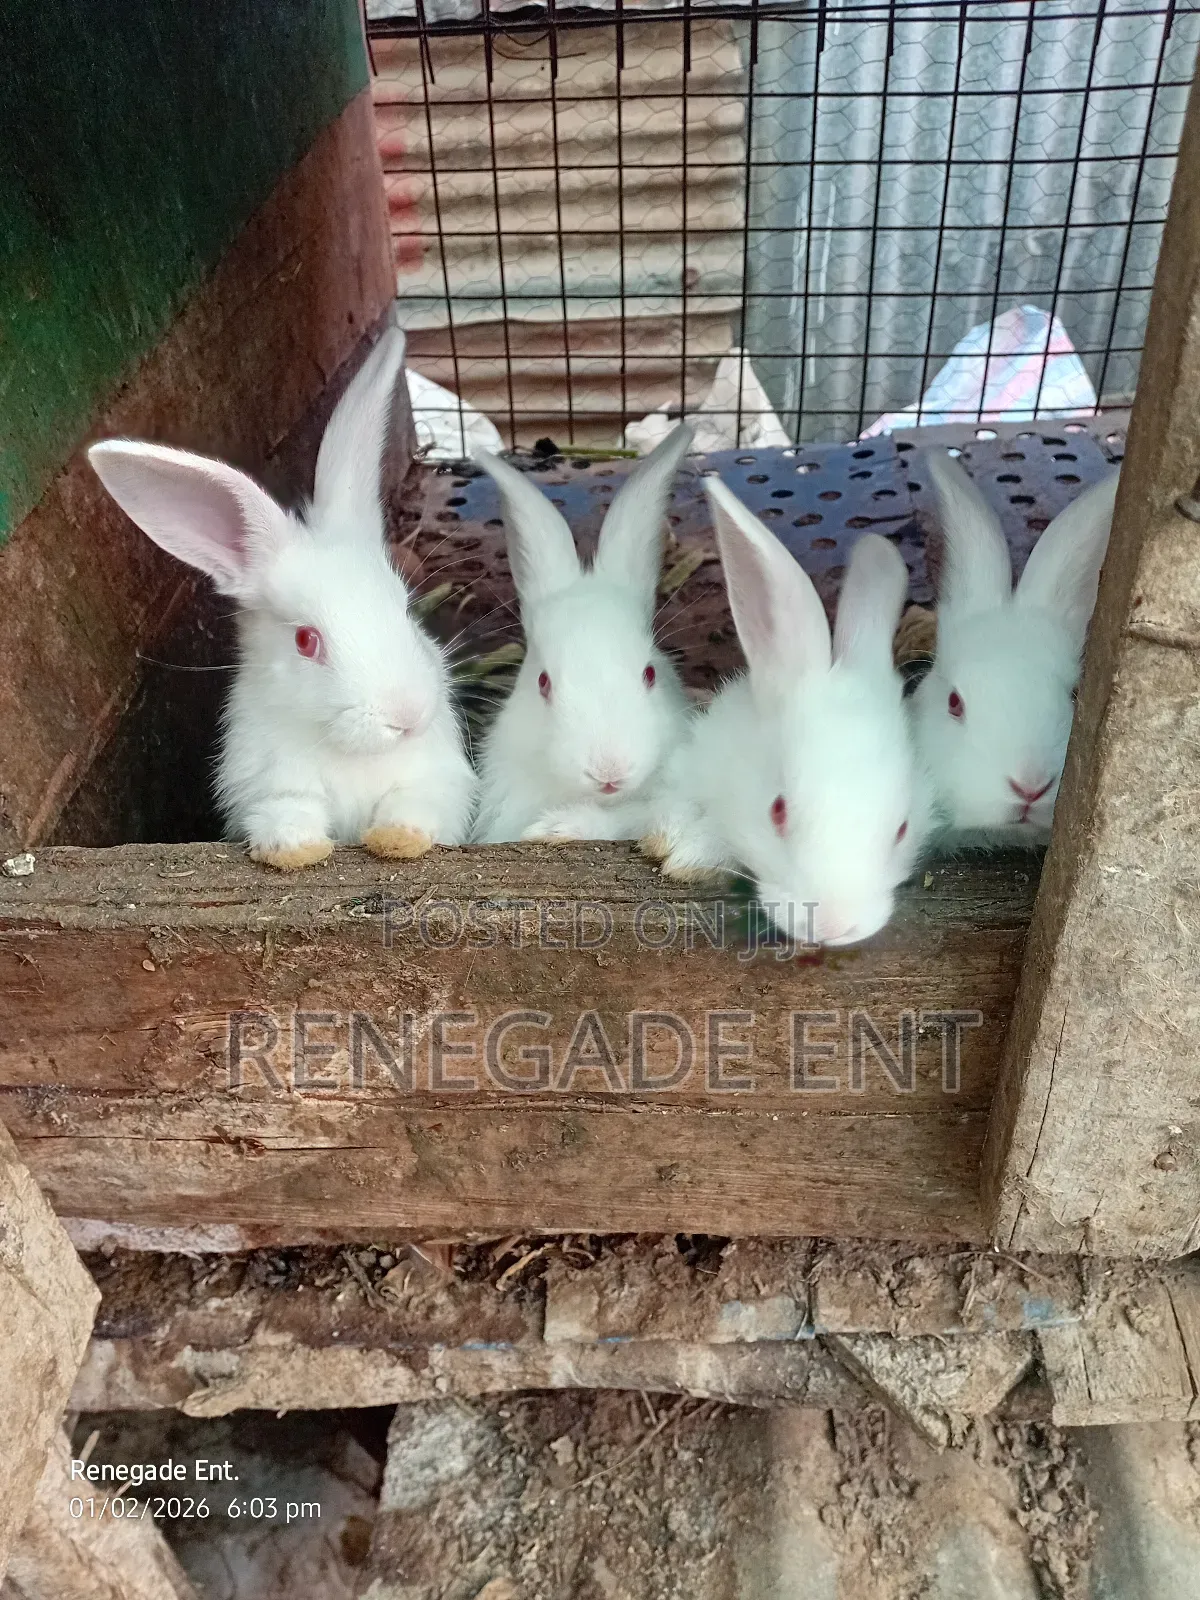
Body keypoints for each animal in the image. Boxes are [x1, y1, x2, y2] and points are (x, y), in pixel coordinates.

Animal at [87, 324, 477, 870]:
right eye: (306, 641)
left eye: (404, 609)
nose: (409, 715)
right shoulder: (265, 785)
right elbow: (287, 809)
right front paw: (296, 849)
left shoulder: (440, 781)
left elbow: (417, 805)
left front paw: (398, 838)